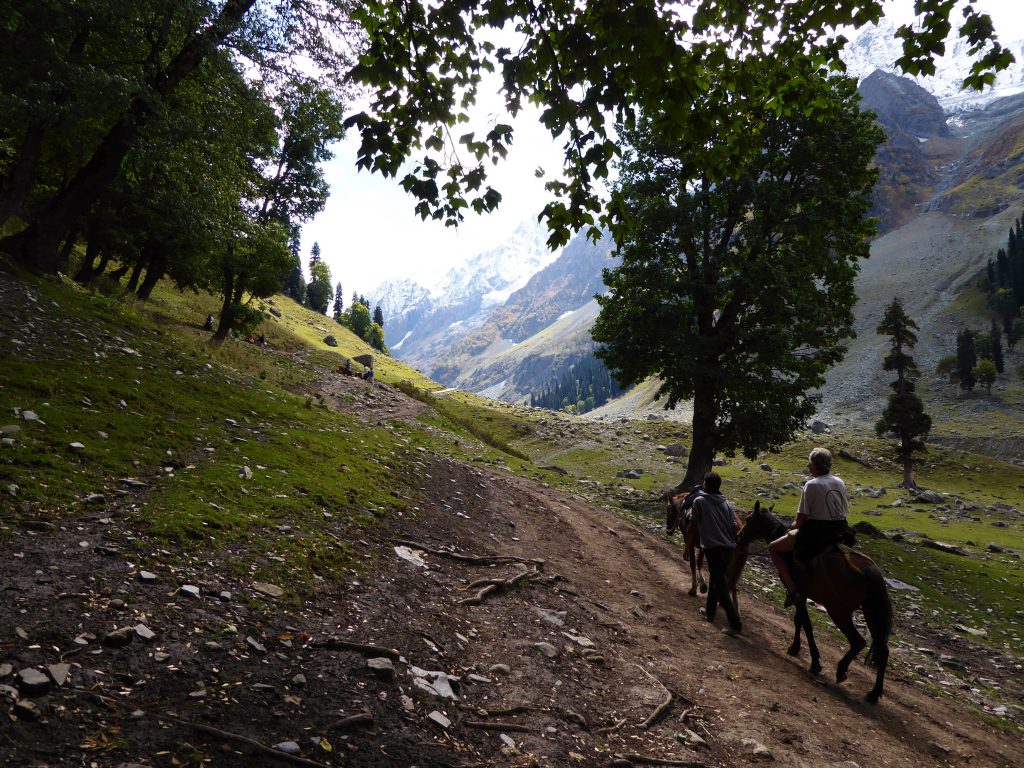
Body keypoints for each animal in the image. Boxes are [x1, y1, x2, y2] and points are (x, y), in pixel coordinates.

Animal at [733, 501, 892, 708]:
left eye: (748, 519)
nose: (739, 537)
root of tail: (870, 571)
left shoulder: (799, 594)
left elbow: (803, 622)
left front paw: (810, 658)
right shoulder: (804, 595)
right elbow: (800, 620)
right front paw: (799, 650)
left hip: (837, 610)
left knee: (858, 641)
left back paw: (841, 670)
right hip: (872, 614)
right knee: (882, 651)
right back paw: (873, 693)